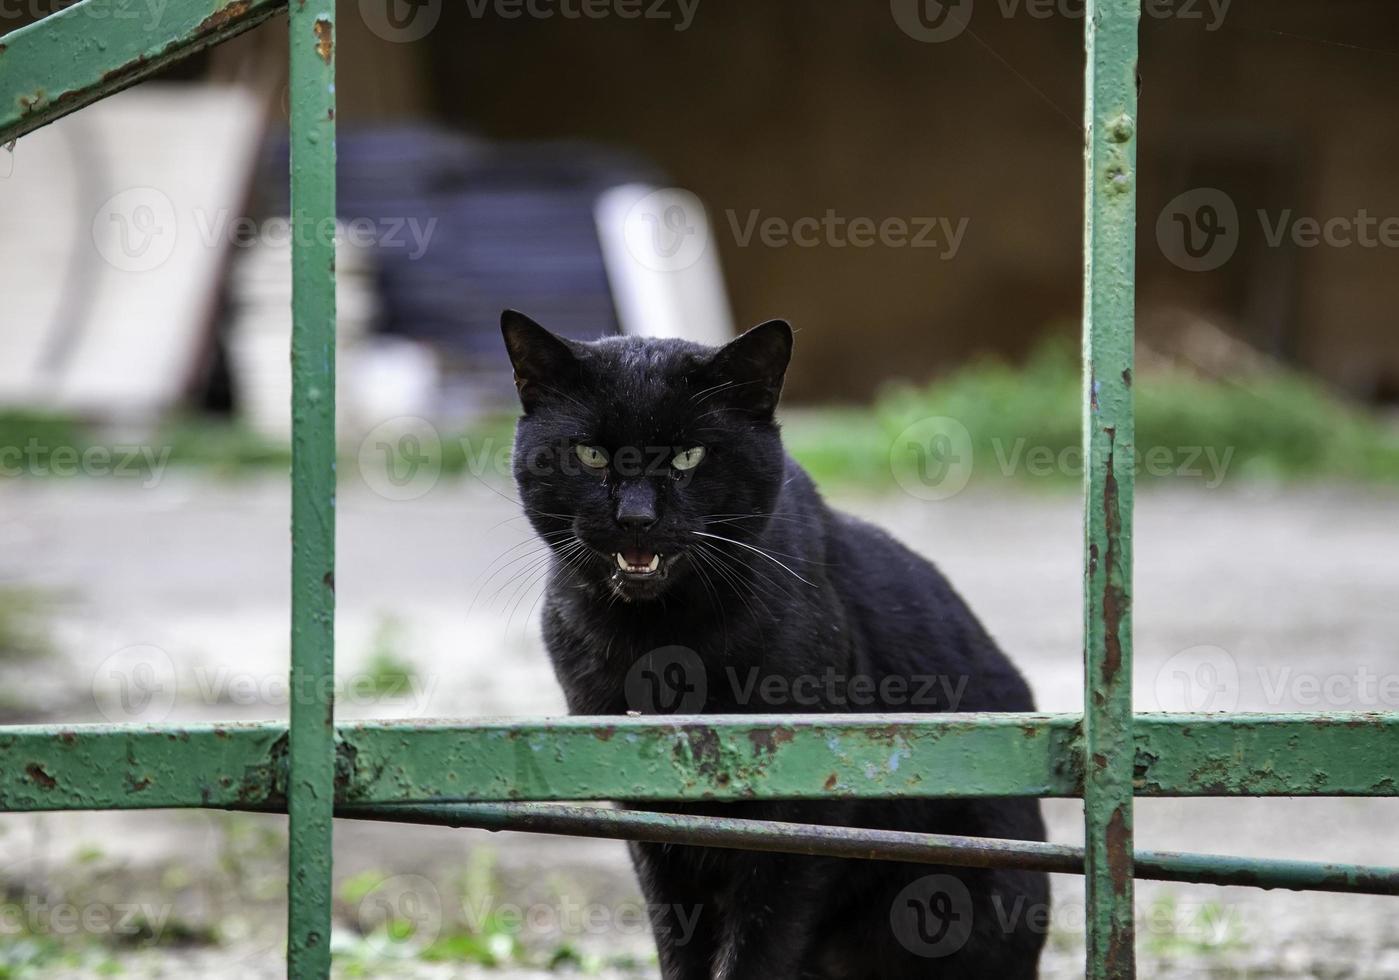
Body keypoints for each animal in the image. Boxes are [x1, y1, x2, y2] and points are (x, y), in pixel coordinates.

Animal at [503, 307, 1052, 978]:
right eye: (587, 454)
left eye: (689, 456)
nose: (636, 517)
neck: (661, 642)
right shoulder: (647, 815)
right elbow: (678, 941)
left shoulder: (801, 813)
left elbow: (758, 945)